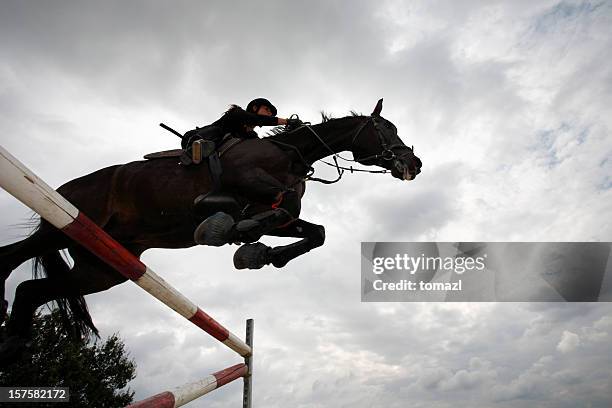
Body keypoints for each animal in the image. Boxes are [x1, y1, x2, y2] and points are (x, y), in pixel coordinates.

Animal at [0, 99, 420, 364]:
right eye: (385, 129)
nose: (414, 164)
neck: (291, 154)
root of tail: (64, 188)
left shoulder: (280, 217)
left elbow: (314, 231)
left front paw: (256, 252)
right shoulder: (248, 182)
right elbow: (277, 204)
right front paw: (230, 229)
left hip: (102, 268)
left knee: (31, 290)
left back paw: (15, 344)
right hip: (63, 227)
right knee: (10, 259)